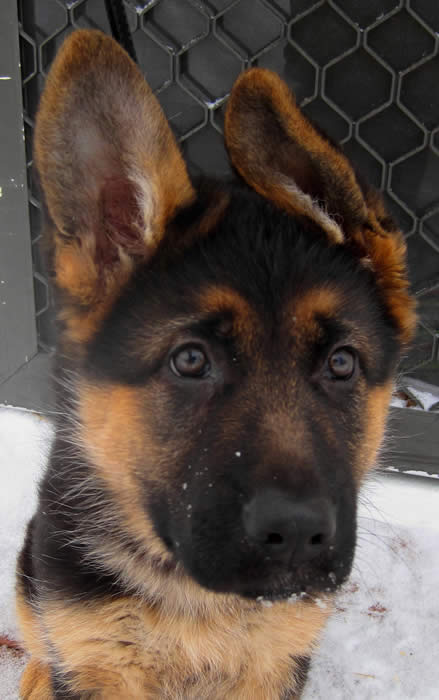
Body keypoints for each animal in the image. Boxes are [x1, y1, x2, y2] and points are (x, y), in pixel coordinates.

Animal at [16, 29, 416, 699]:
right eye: (190, 360)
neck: (195, 598)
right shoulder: (95, 658)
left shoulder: (274, 667)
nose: (297, 536)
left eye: (341, 364)